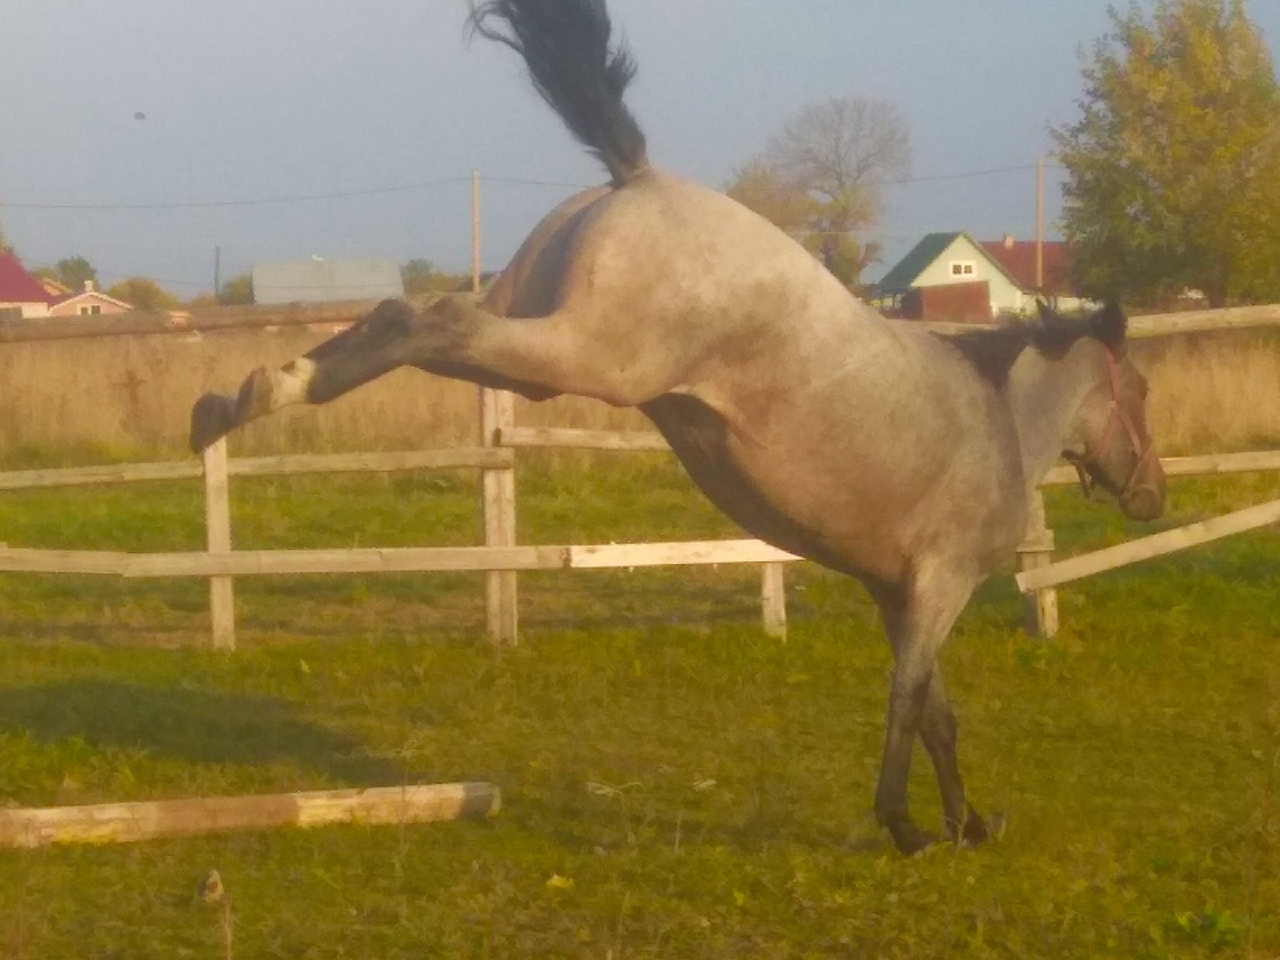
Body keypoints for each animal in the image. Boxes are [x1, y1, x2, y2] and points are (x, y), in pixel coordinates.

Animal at [189, 0, 1162, 855]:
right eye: (1143, 392)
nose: (1152, 493)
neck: (997, 421)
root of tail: (642, 177)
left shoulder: (897, 593)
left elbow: (937, 718)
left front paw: (966, 825)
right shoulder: (936, 589)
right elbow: (907, 708)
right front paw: (910, 829)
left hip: (530, 345)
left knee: (412, 324)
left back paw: (234, 403)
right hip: (586, 358)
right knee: (417, 319)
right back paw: (250, 400)